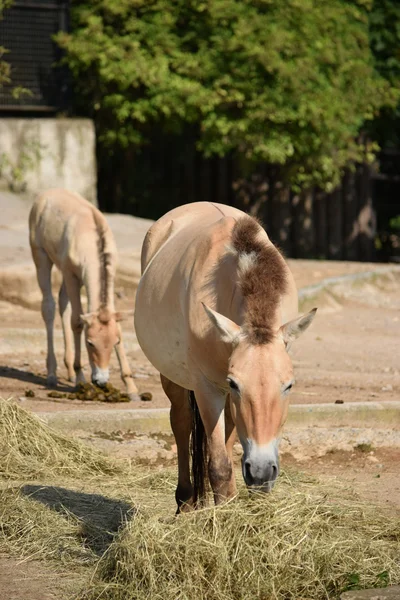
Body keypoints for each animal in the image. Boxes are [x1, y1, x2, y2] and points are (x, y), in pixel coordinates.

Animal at [29, 190, 139, 400]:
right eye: (90, 343)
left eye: (115, 342)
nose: (101, 380)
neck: (90, 239)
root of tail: (46, 194)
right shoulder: (71, 274)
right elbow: (77, 322)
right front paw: (81, 379)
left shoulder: (109, 274)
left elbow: (117, 325)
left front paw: (131, 387)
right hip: (41, 257)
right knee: (49, 306)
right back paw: (53, 374)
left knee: (62, 302)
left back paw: (69, 372)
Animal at [136, 204, 318, 508]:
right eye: (236, 384)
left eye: (289, 386)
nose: (261, 471)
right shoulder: (209, 388)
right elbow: (219, 466)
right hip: (175, 380)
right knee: (181, 422)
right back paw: (185, 501)